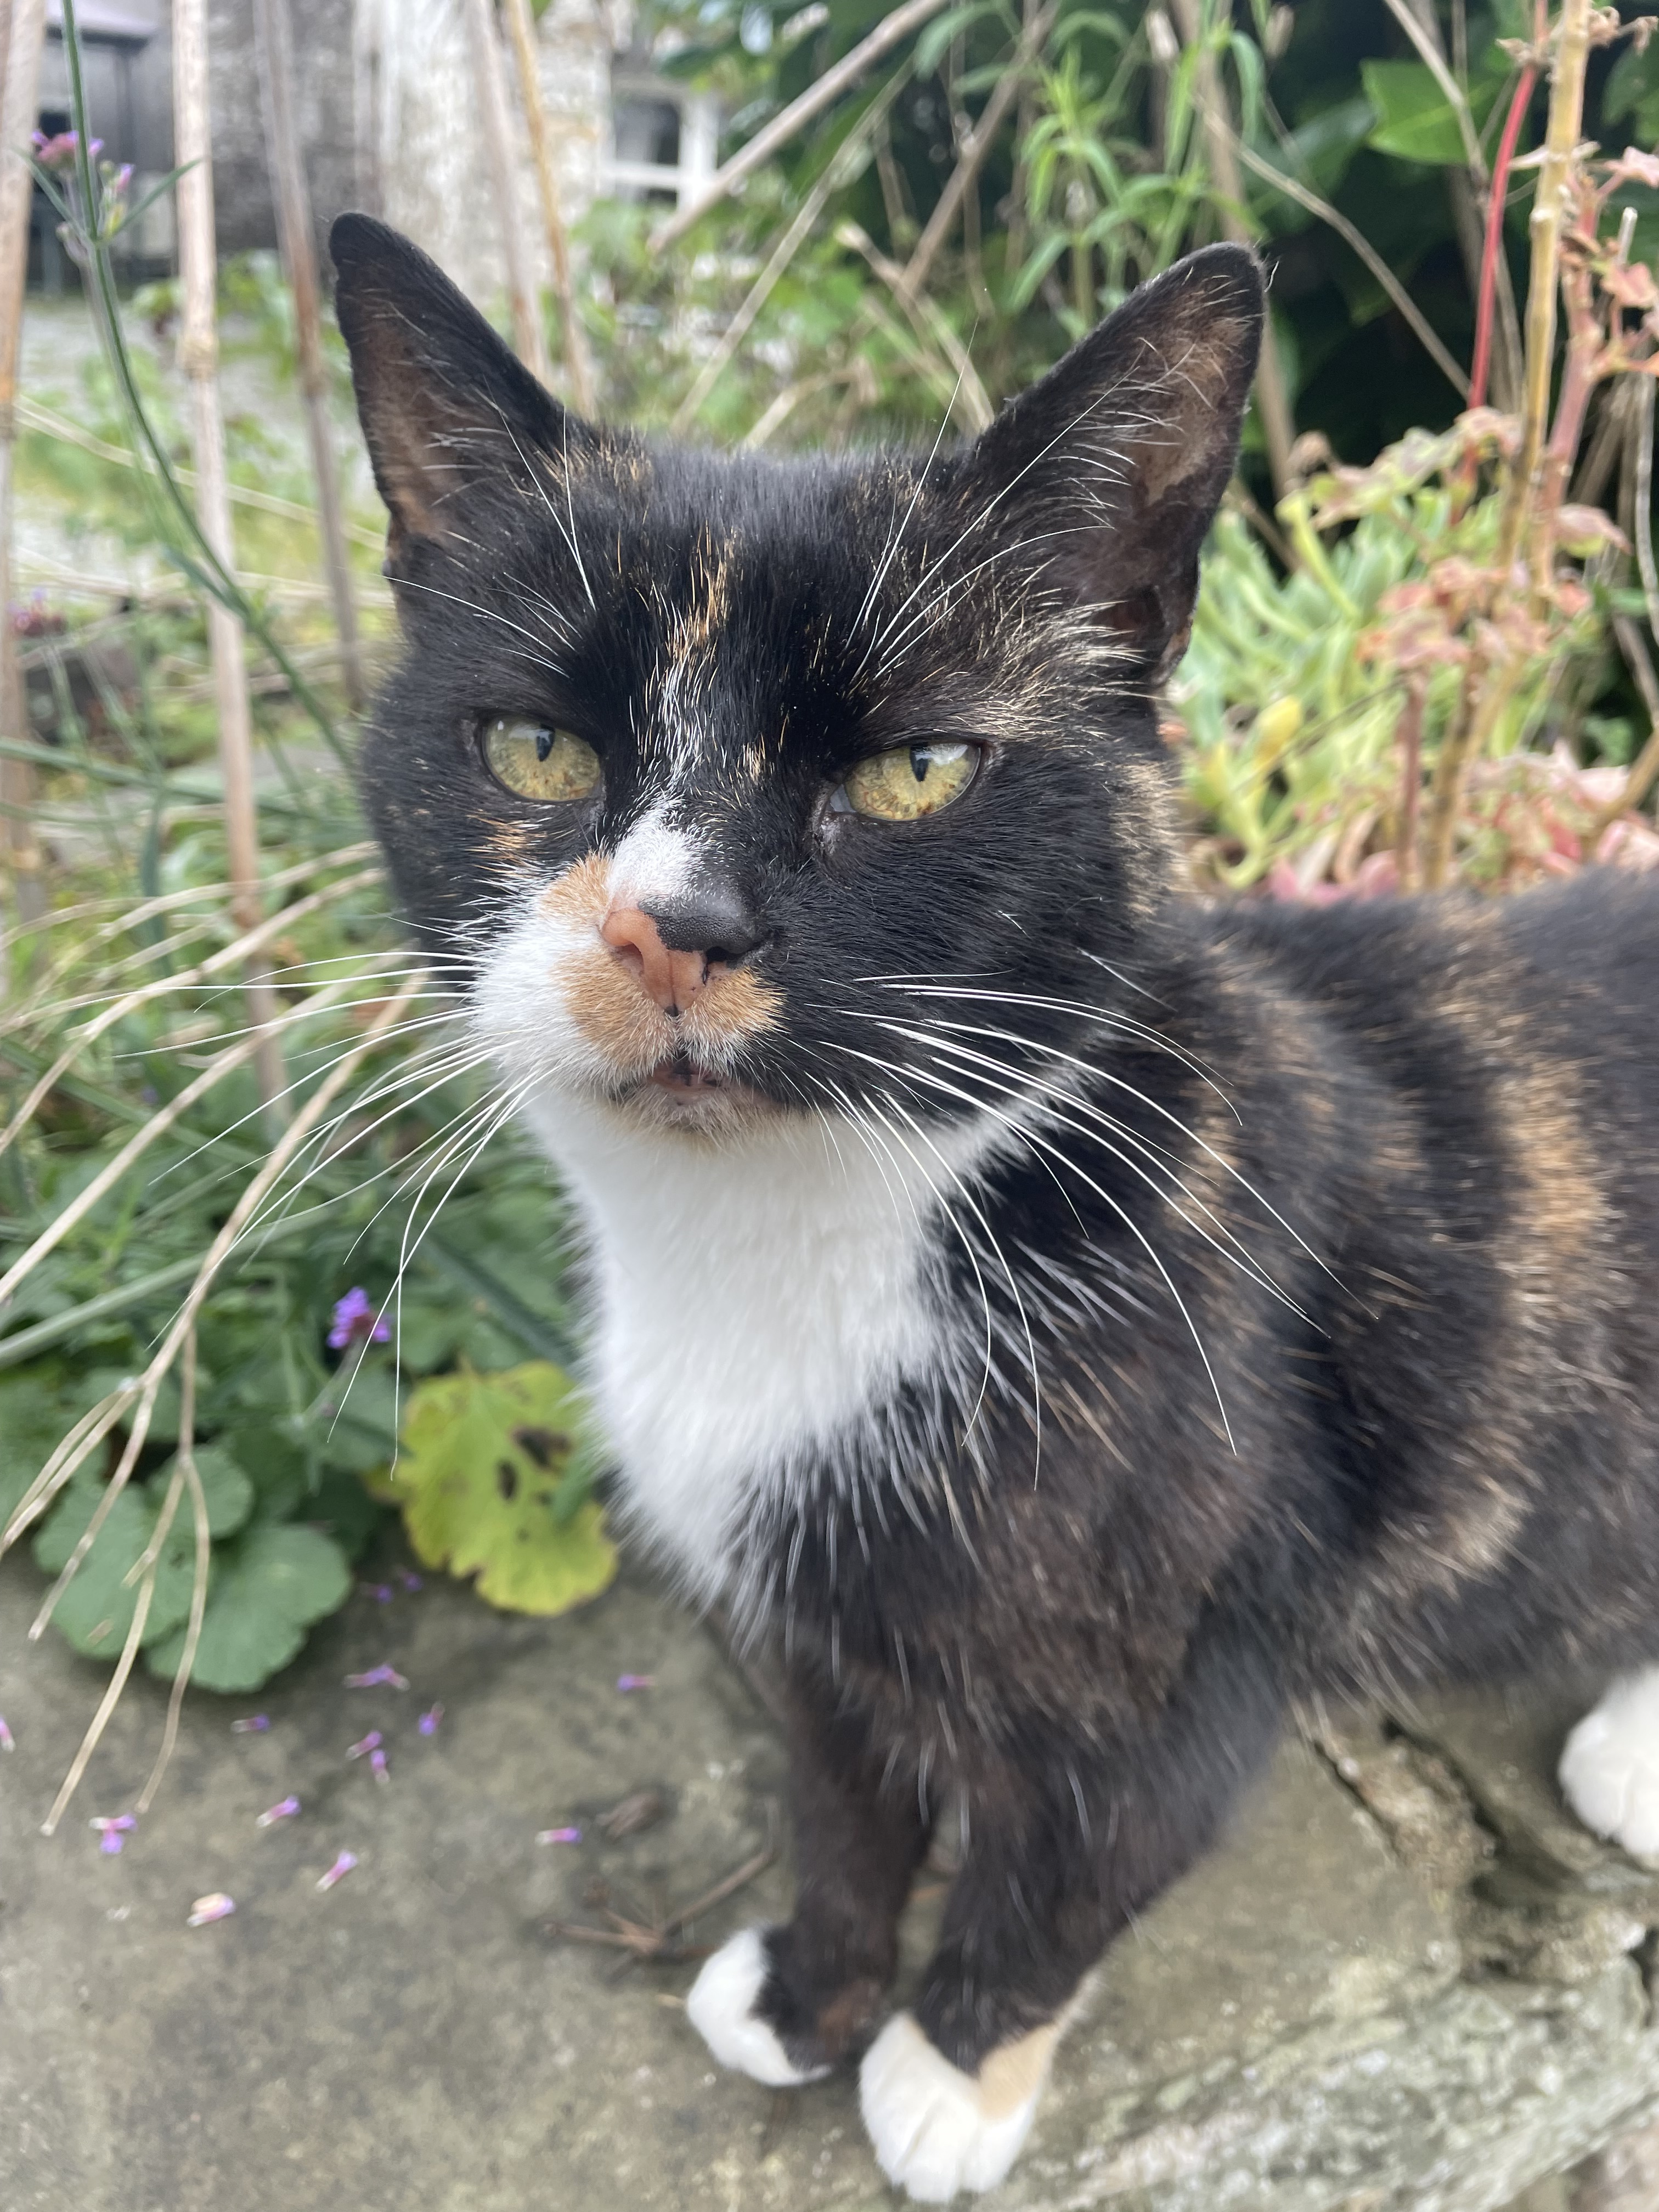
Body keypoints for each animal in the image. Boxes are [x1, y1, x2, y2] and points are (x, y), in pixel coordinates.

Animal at [331, 211, 1659, 2202]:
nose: (675, 927)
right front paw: (806, 1995)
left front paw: (953, 2073)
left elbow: (1065, 1870)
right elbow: (839, 1809)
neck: (785, 1256)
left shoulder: (1182, 1673)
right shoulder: (801, 1633)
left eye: (918, 770)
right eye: (537, 752)